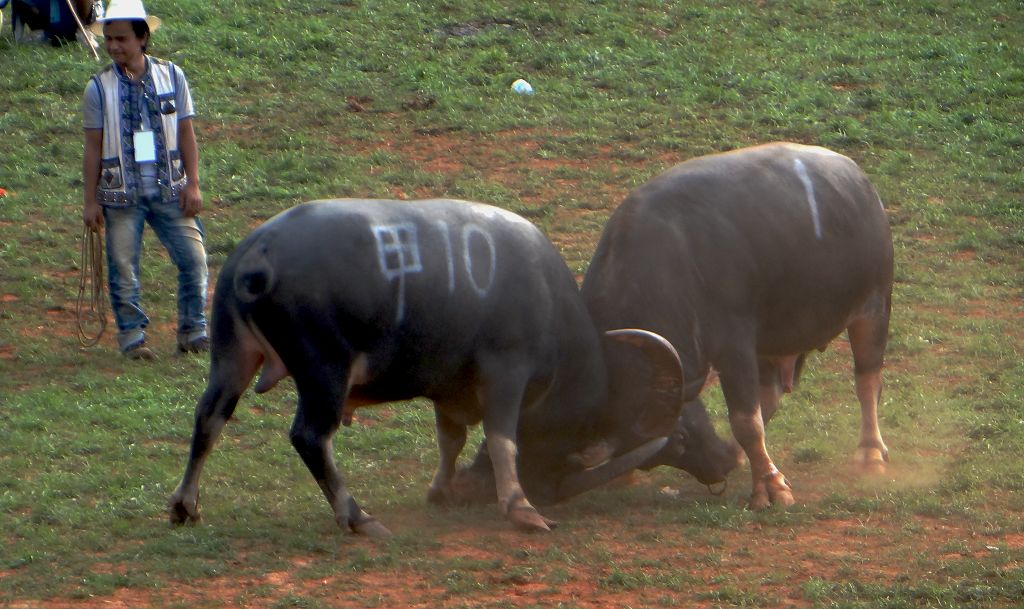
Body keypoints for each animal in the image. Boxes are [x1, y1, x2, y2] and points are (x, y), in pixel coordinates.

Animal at [167, 197, 729, 536]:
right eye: (679, 433)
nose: (728, 460)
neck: (545, 298)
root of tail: (257, 253)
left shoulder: (449, 391)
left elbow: (451, 439)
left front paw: (443, 491)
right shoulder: (507, 372)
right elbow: (503, 439)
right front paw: (520, 506)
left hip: (232, 355)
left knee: (208, 418)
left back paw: (184, 504)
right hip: (324, 371)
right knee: (309, 436)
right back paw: (357, 517)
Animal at [585, 143, 897, 509]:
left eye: (679, 436)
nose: (716, 469)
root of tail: (862, 184)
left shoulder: (734, 343)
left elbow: (746, 421)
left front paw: (769, 488)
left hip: (874, 307)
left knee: (867, 381)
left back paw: (871, 454)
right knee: (771, 393)